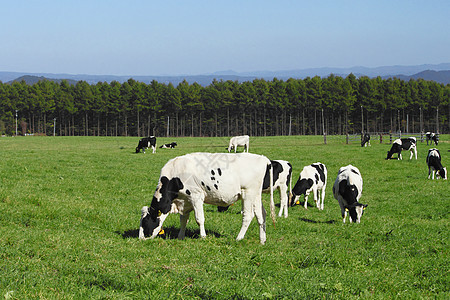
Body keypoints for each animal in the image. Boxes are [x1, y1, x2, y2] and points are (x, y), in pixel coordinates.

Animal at [141, 152, 274, 244]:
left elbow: (199, 219)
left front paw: (203, 236)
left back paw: (239, 238)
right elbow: (183, 220)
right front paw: (180, 237)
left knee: (248, 216)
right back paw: (262, 240)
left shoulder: (196, 196)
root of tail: (263, 159)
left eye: (146, 222)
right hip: (256, 195)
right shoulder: (185, 201)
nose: (141, 238)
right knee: (261, 215)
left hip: (248, 193)